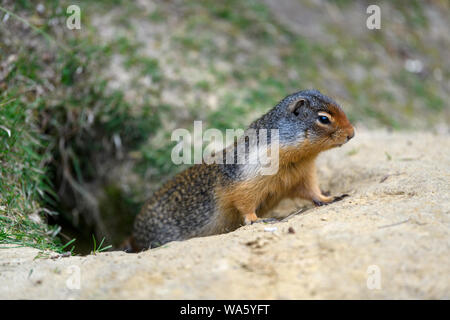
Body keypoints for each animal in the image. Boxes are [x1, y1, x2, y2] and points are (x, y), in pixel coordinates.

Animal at [129, 89, 356, 251]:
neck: (297, 159)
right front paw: (258, 219)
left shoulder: (303, 175)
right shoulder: (246, 182)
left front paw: (330, 197)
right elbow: (245, 204)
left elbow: (311, 191)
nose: (352, 134)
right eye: (324, 118)